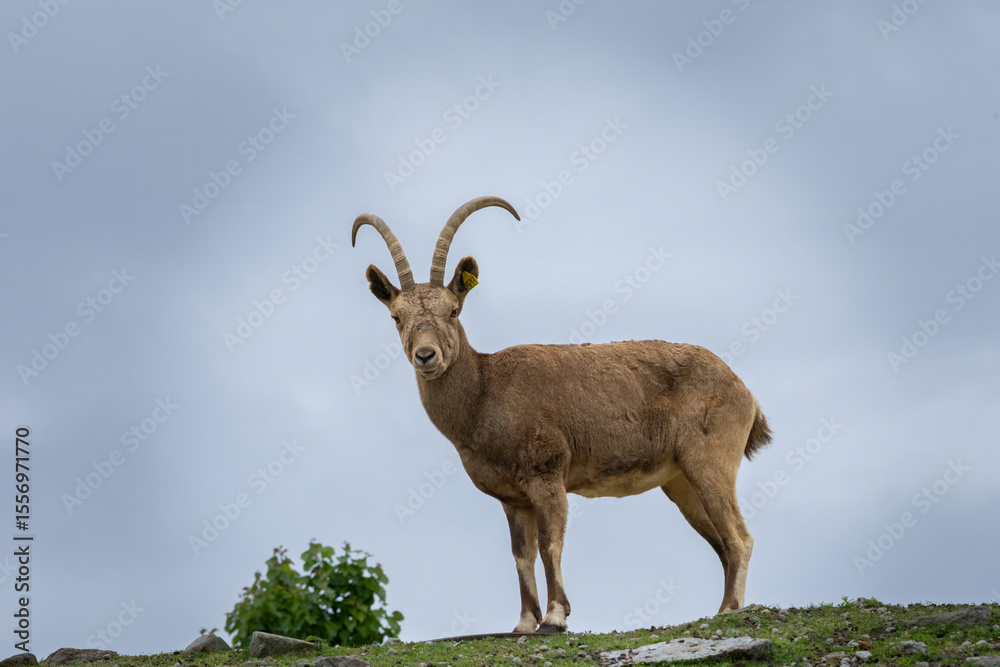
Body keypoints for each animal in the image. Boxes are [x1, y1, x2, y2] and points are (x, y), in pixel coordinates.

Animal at [352, 196, 773, 634]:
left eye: (453, 311)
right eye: (396, 317)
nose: (426, 355)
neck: (484, 392)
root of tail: (744, 390)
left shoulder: (547, 473)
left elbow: (549, 543)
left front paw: (555, 617)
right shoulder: (512, 497)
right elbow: (521, 555)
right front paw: (524, 623)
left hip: (710, 461)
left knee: (739, 537)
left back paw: (730, 609)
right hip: (680, 482)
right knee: (721, 541)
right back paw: (722, 605)